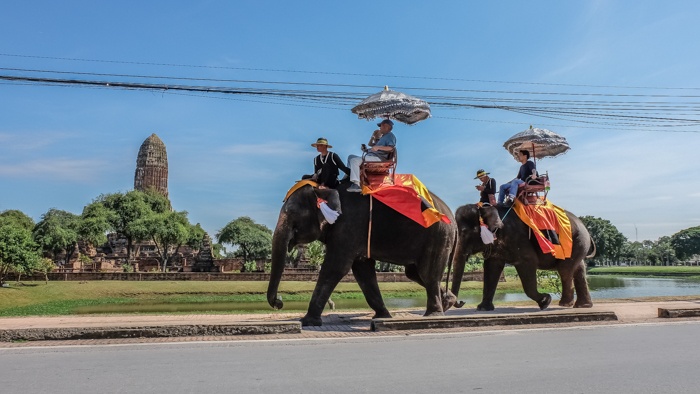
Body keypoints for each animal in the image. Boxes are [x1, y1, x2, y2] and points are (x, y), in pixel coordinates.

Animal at [266, 182, 456, 326]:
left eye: (292, 213)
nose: (279, 303)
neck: (327, 187)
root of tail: (452, 218)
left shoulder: (349, 225)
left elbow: (336, 267)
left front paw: (307, 322)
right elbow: (362, 271)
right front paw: (382, 316)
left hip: (438, 236)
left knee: (427, 273)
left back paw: (434, 315)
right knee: (415, 273)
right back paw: (449, 301)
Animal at [448, 203, 596, 310]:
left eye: (464, 232)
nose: (462, 301)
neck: (486, 208)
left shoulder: (519, 240)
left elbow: (527, 264)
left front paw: (545, 301)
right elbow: (491, 268)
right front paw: (483, 308)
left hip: (577, 241)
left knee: (565, 270)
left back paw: (565, 304)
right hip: (579, 244)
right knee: (578, 269)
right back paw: (582, 305)